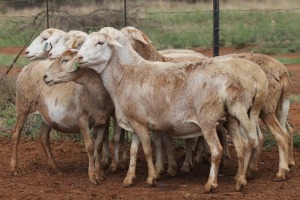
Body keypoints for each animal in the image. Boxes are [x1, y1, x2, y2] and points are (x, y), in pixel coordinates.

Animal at [73, 29, 270, 192]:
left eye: (100, 43)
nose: (79, 58)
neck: (125, 74)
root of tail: (230, 82)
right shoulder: (134, 121)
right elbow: (134, 151)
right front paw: (129, 179)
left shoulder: (141, 123)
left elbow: (147, 150)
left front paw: (151, 178)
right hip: (231, 118)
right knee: (242, 146)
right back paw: (240, 181)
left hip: (207, 120)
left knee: (217, 150)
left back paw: (211, 184)